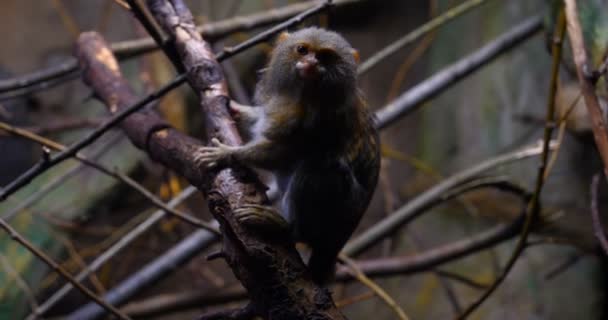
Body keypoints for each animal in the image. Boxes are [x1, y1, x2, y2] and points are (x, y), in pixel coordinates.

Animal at [196, 26, 380, 282]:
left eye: (324, 57)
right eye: (302, 50)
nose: (311, 63)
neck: (304, 95)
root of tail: (335, 246)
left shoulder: (323, 122)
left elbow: (282, 154)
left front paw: (225, 154)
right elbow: (261, 120)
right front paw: (236, 110)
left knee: (321, 167)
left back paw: (286, 228)